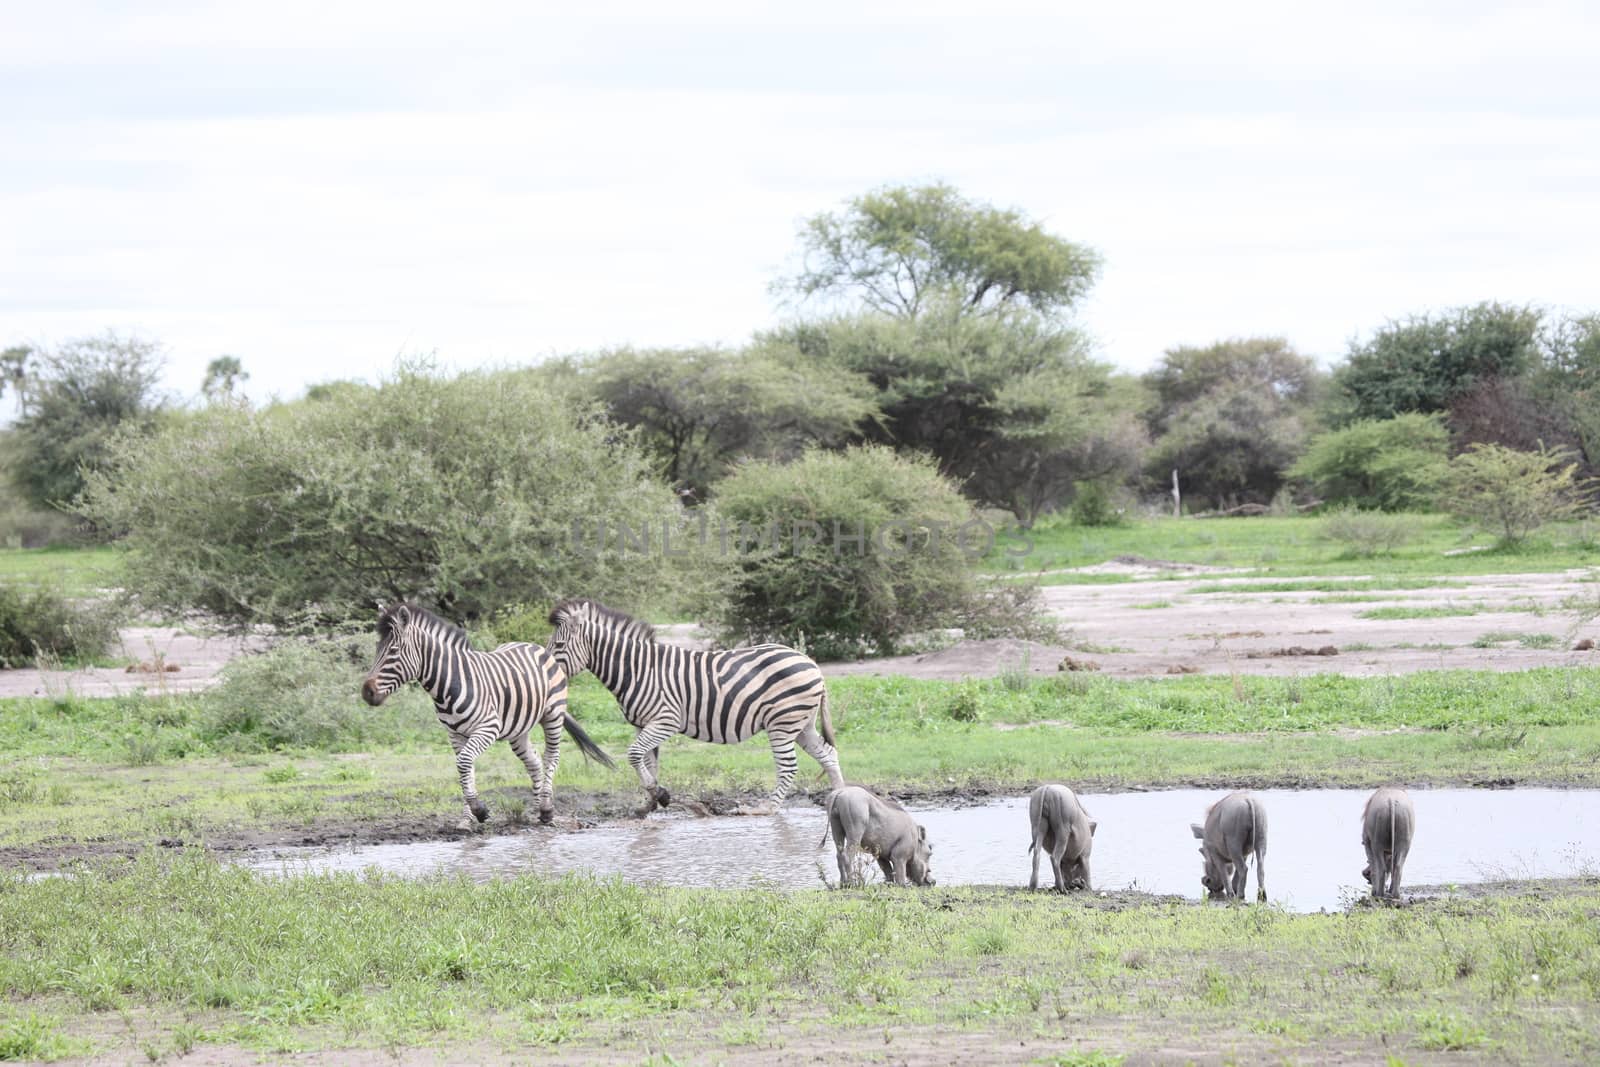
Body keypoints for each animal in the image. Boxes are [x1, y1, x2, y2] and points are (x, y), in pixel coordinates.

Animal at [361, 604, 611, 831]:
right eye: (377, 648)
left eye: (394, 650)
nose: (367, 692)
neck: (449, 684)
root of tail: (535, 646)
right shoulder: (454, 734)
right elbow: (465, 769)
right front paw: (466, 819)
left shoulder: (488, 727)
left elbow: (464, 763)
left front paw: (479, 810)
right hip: (518, 730)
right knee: (533, 761)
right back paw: (539, 810)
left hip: (553, 713)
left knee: (551, 756)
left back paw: (548, 808)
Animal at [550, 601, 844, 819]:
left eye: (558, 646)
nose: (548, 671)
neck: (636, 670)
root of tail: (811, 663)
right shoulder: (645, 723)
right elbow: (647, 761)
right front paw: (650, 802)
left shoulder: (666, 720)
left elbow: (634, 755)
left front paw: (658, 794)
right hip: (801, 724)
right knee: (828, 754)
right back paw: (840, 797)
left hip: (782, 723)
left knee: (788, 766)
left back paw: (764, 809)